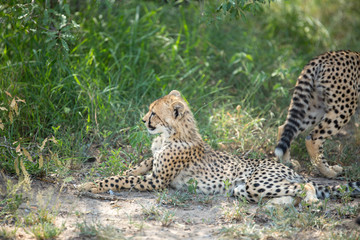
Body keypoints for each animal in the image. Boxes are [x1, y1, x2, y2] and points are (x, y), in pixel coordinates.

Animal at [79, 90, 360, 204]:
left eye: (154, 113)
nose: (142, 120)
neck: (169, 136)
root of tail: (288, 168)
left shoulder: (157, 181)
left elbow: (119, 179)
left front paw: (89, 185)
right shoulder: (152, 164)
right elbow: (133, 169)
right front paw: (98, 179)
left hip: (258, 182)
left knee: (306, 186)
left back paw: (313, 200)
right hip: (248, 188)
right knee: (289, 193)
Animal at [276, 50, 360, 178]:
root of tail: (323, 57)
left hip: (314, 107)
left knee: (284, 128)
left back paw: (287, 163)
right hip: (344, 107)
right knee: (313, 138)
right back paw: (328, 171)